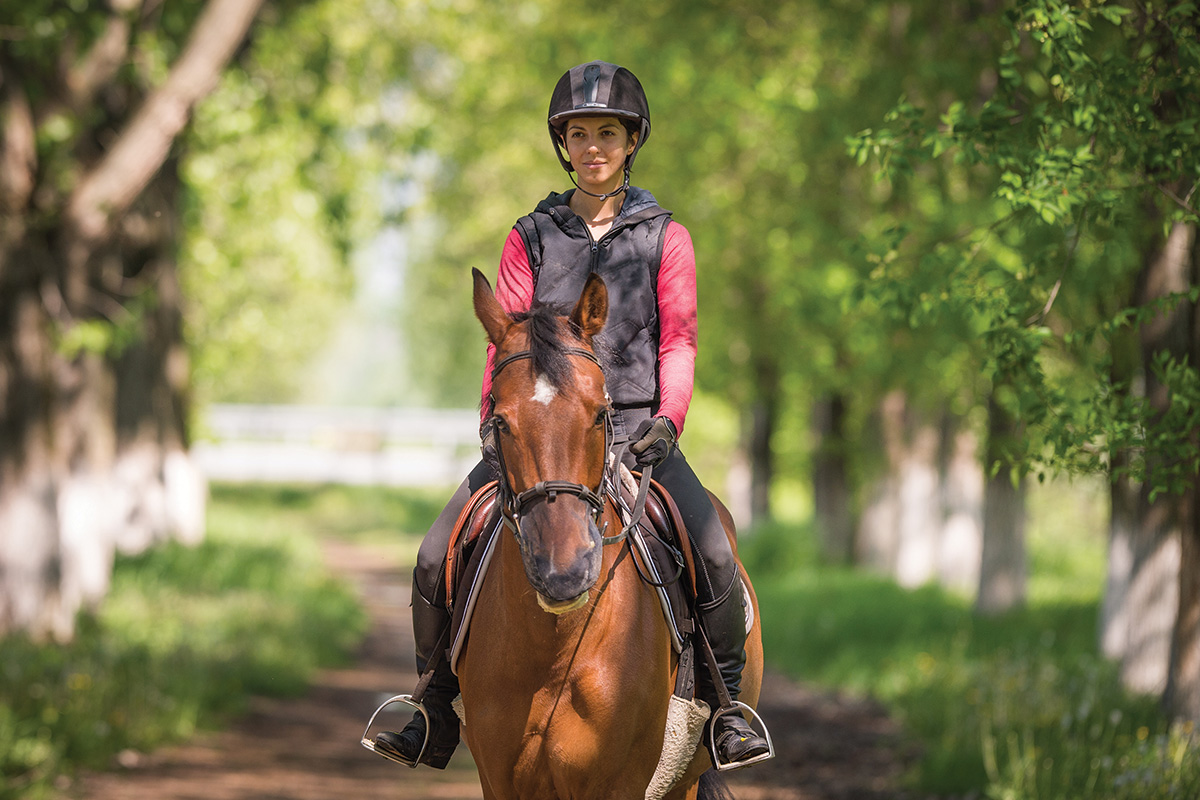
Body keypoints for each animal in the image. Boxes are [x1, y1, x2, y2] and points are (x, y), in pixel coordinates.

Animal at [453, 268, 763, 800]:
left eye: (600, 413)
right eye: (500, 421)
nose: (564, 571)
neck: (554, 652)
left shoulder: (621, 783)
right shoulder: (499, 782)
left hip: (683, 776)